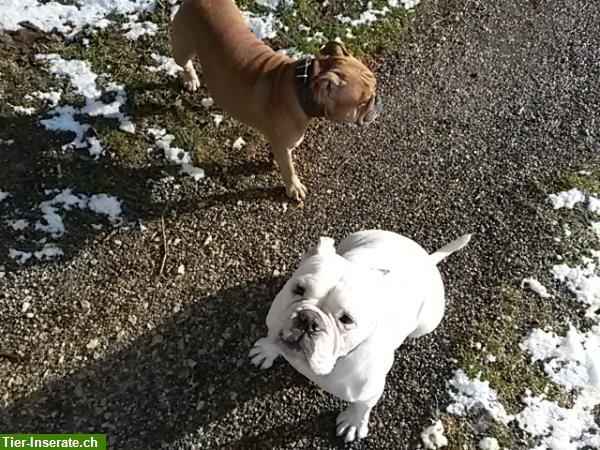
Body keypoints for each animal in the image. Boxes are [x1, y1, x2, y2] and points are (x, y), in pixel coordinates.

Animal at [171, 0, 382, 200]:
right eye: (363, 102)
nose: (378, 102)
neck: (303, 86)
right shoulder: (283, 143)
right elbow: (288, 168)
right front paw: (294, 187)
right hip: (182, 47)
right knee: (184, 62)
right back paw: (191, 79)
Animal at [248, 230, 468, 442]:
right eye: (298, 289)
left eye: (346, 319)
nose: (309, 320)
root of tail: (427, 259)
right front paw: (267, 350)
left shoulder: (369, 391)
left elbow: (362, 407)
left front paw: (353, 423)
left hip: (426, 325)